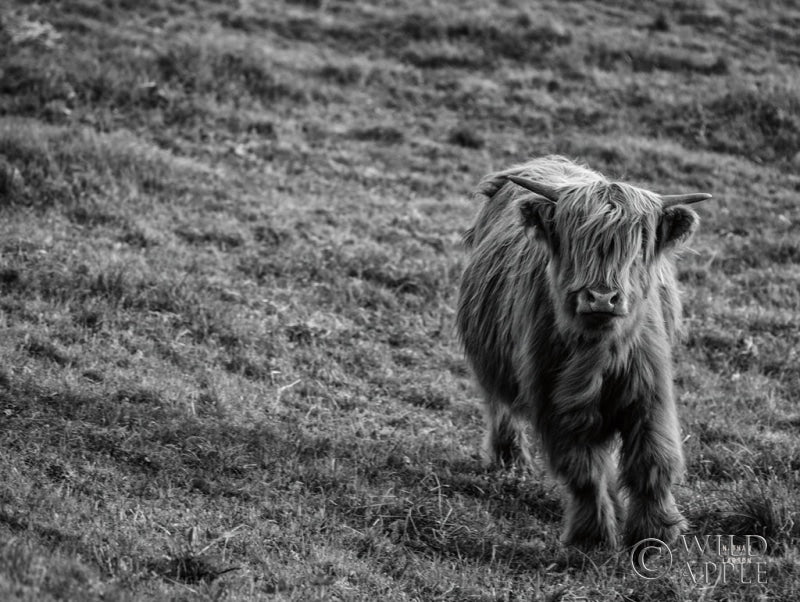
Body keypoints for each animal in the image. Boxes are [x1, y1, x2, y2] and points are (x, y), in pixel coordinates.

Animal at [456, 155, 711, 549]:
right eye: (575, 239)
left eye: (638, 243)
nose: (602, 298)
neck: (599, 354)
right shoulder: (556, 404)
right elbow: (583, 471)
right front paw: (592, 536)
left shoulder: (650, 395)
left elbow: (653, 460)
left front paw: (655, 533)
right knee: (499, 405)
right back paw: (509, 461)